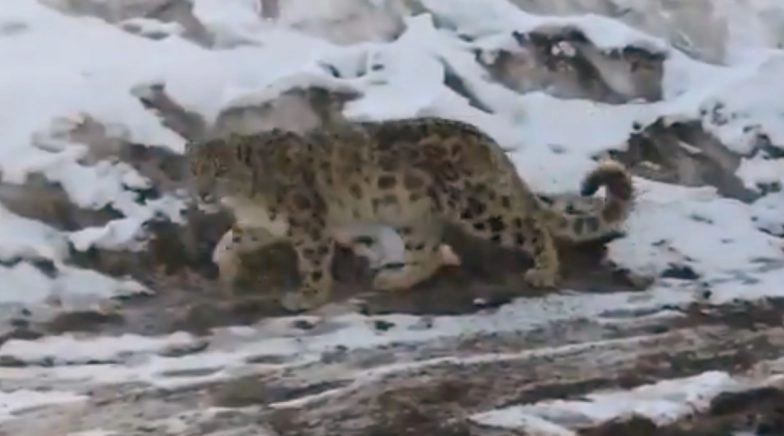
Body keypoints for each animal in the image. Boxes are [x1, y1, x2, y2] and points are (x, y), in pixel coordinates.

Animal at [186, 116, 634, 312]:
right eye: (196, 168)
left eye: (220, 170)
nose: (203, 192)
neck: (248, 198)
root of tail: (488, 142)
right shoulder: (265, 224)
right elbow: (234, 237)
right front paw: (224, 264)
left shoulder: (307, 223)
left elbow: (312, 261)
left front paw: (308, 295)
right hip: (413, 216)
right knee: (428, 254)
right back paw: (395, 279)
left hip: (477, 206)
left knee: (533, 225)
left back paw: (543, 271)